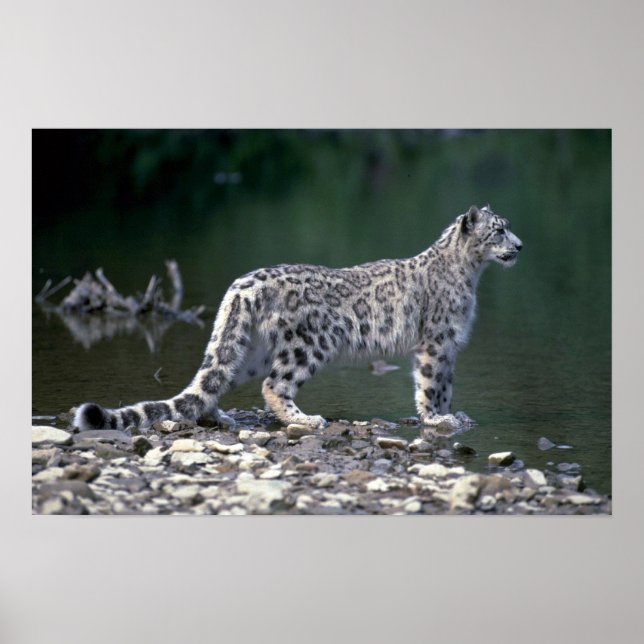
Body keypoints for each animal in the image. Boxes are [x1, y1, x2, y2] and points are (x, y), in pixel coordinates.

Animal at [73, 204, 522, 433]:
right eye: (498, 230)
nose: (519, 245)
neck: (472, 275)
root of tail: (242, 285)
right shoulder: (436, 342)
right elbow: (431, 383)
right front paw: (437, 417)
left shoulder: (450, 346)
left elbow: (445, 384)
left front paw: (454, 414)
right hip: (309, 345)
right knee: (274, 385)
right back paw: (304, 419)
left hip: (250, 350)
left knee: (216, 379)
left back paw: (214, 414)